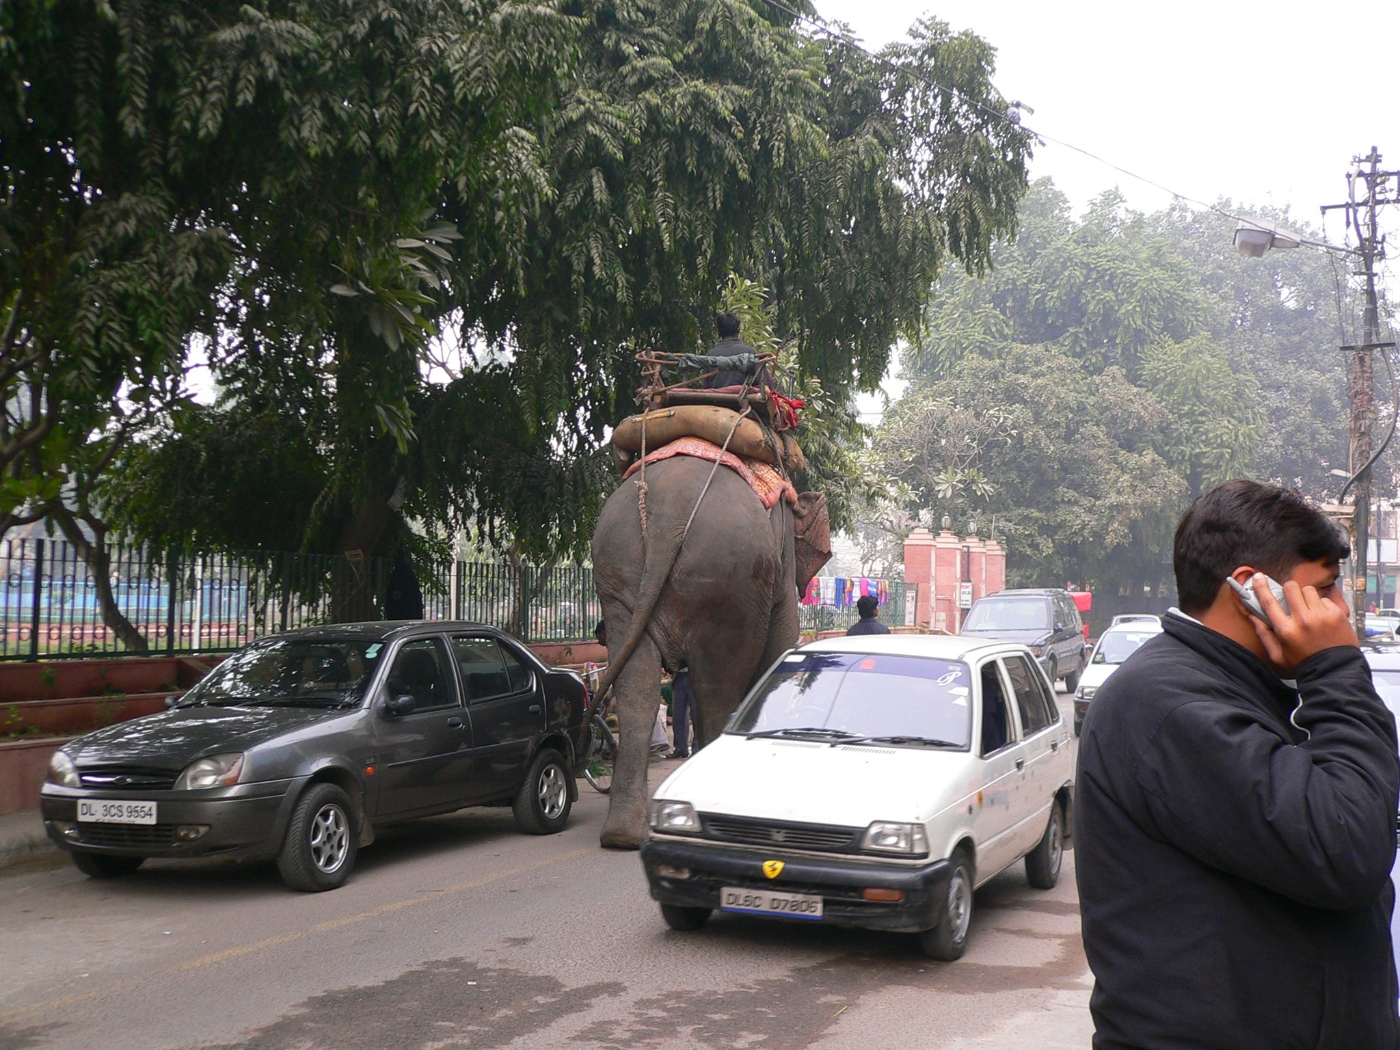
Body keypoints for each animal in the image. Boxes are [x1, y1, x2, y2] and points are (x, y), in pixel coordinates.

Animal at [585, 456, 823, 851]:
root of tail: (667, 519)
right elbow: (778, 651)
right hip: (730, 582)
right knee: (717, 691)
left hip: (618, 573)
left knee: (638, 691)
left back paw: (622, 835)